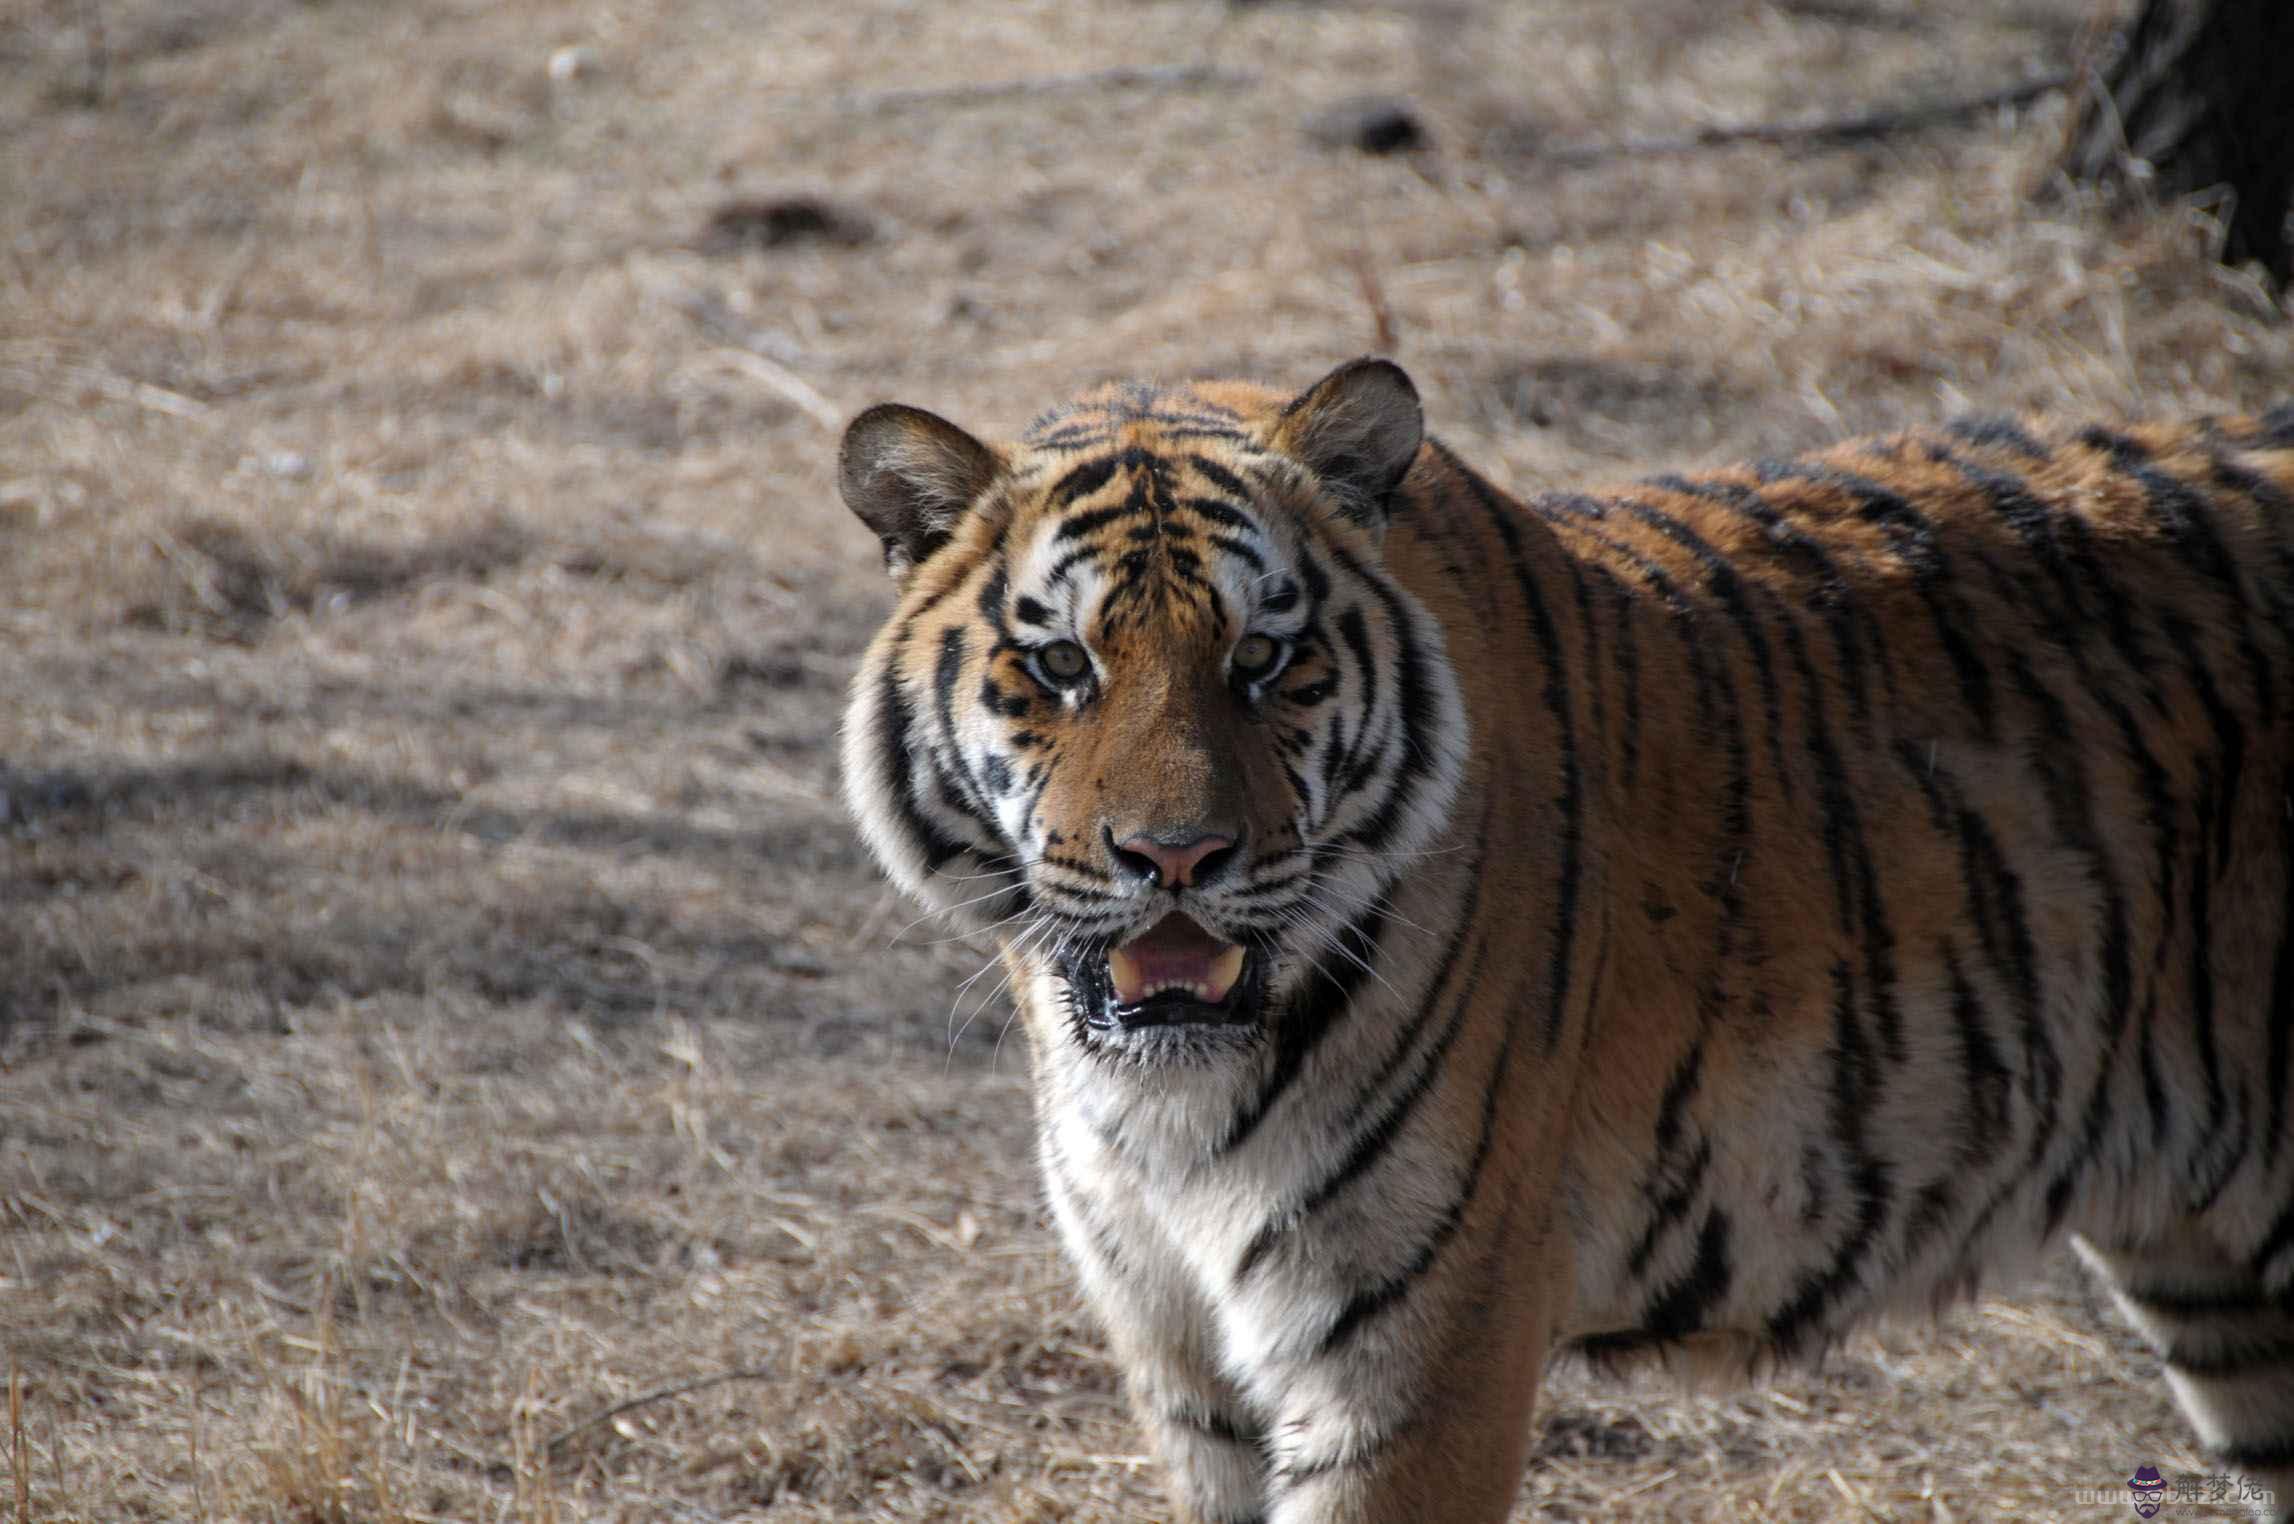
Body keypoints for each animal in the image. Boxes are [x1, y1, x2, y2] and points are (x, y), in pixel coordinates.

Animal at [835, 360, 2294, 1524]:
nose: (1178, 859)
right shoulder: (1184, 1369)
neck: (1163, 1105)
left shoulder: (1418, 1361)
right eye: (1062, 667)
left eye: (1265, 658)